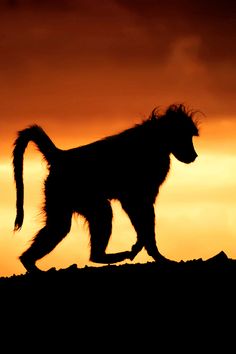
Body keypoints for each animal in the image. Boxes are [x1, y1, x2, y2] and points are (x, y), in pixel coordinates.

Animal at [12, 103, 199, 272]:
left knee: (59, 227)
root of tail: (62, 156)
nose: (194, 155)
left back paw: (29, 262)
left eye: (190, 136)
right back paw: (105, 256)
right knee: (100, 212)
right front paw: (150, 250)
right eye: (184, 136)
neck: (156, 140)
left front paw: (147, 248)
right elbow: (136, 206)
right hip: (73, 191)